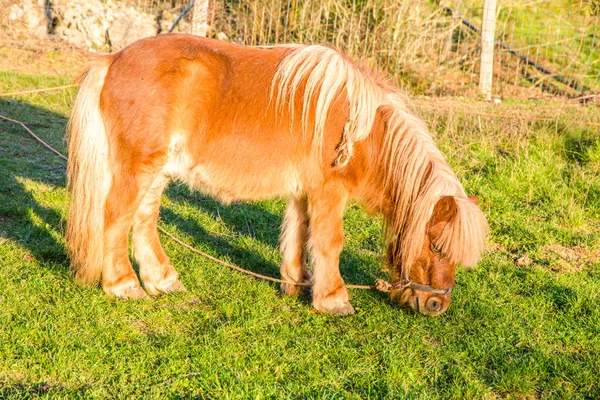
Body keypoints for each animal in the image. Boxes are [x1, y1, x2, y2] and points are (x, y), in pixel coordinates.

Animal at [65, 34, 488, 316]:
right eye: (437, 248)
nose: (436, 304)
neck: (360, 130)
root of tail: (113, 60)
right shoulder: (328, 192)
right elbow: (329, 242)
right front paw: (333, 299)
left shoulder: (303, 193)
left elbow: (298, 236)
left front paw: (298, 284)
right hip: (138, 168)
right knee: (116, 218)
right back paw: (123, 285)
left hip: (156, 171)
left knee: (144, 220)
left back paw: (162, 280)